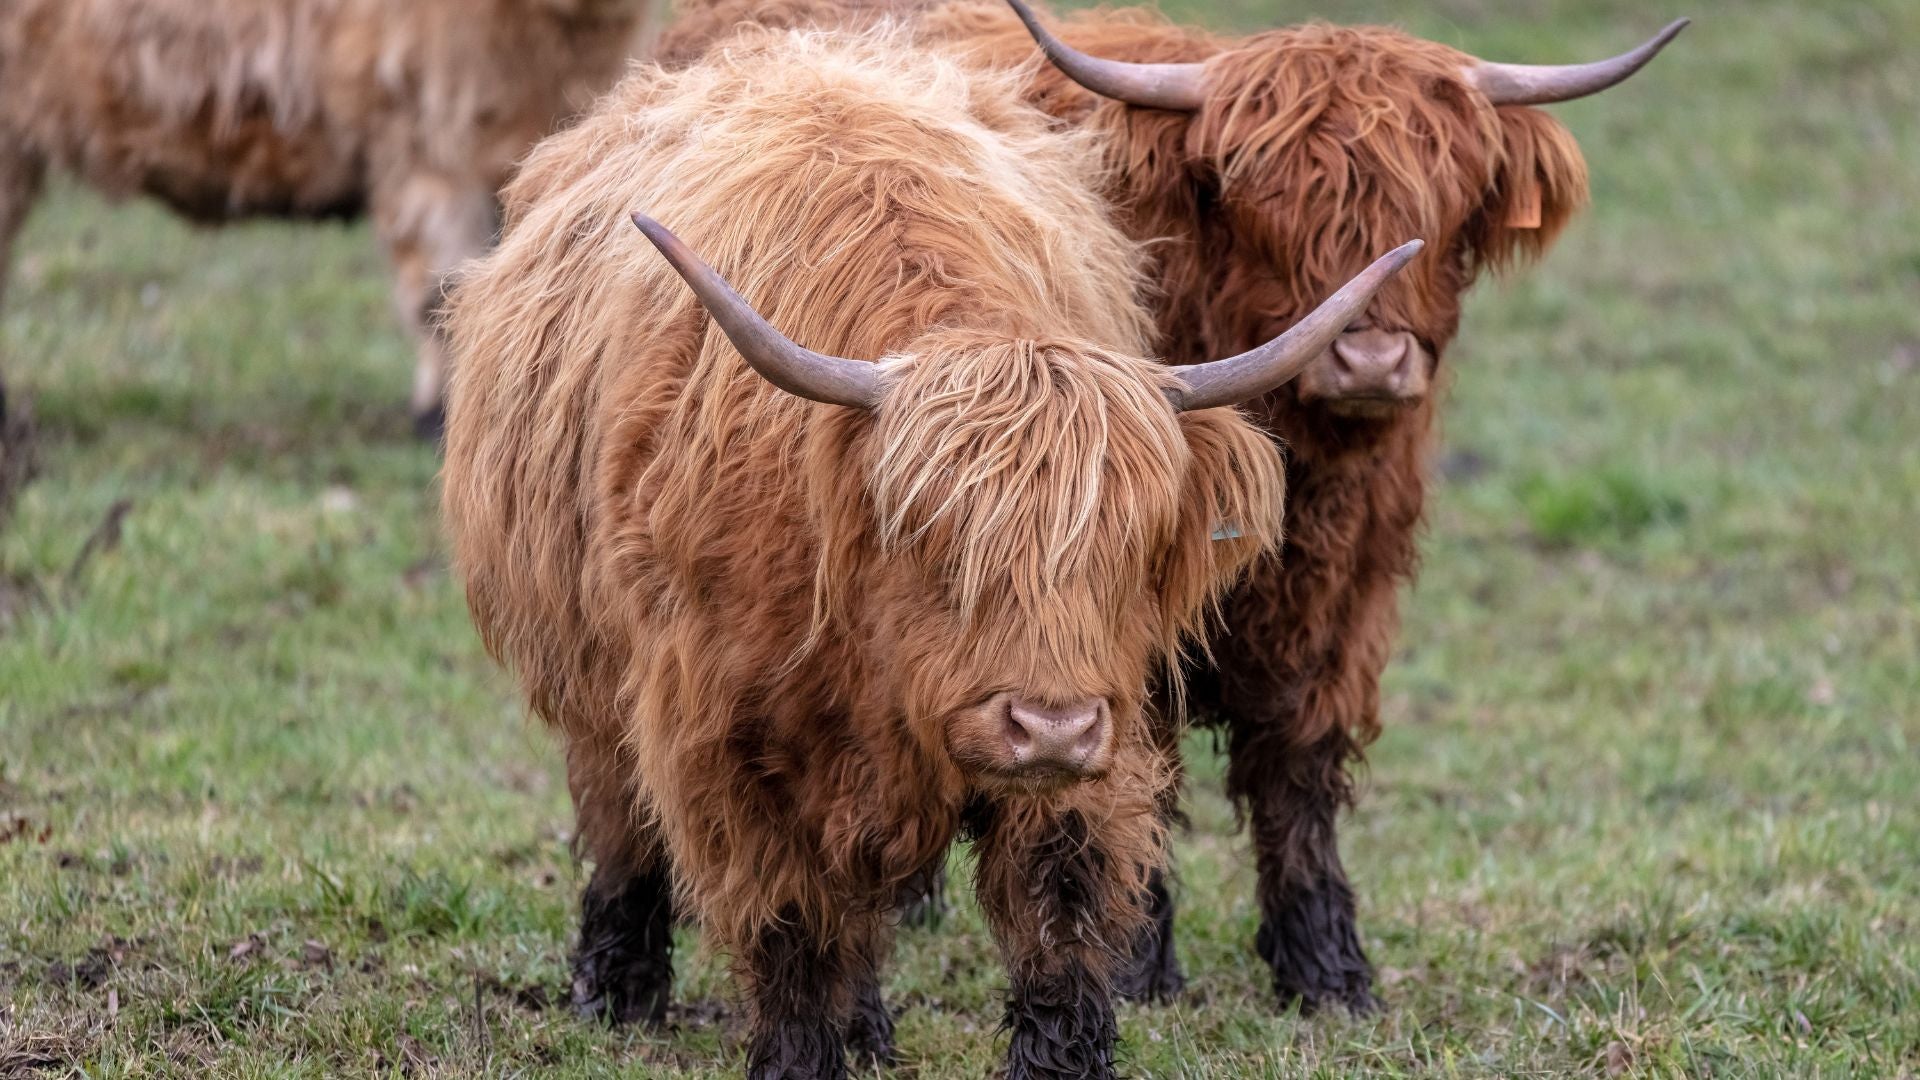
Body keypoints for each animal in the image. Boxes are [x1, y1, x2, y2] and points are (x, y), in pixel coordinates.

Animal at [660, 0, 1681, 1014]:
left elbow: (1300, 767)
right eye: (1255, 192)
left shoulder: (1347, 597)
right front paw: (1141, 965)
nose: (1371, 361)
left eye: (1451, 198)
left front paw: (1327, 968)